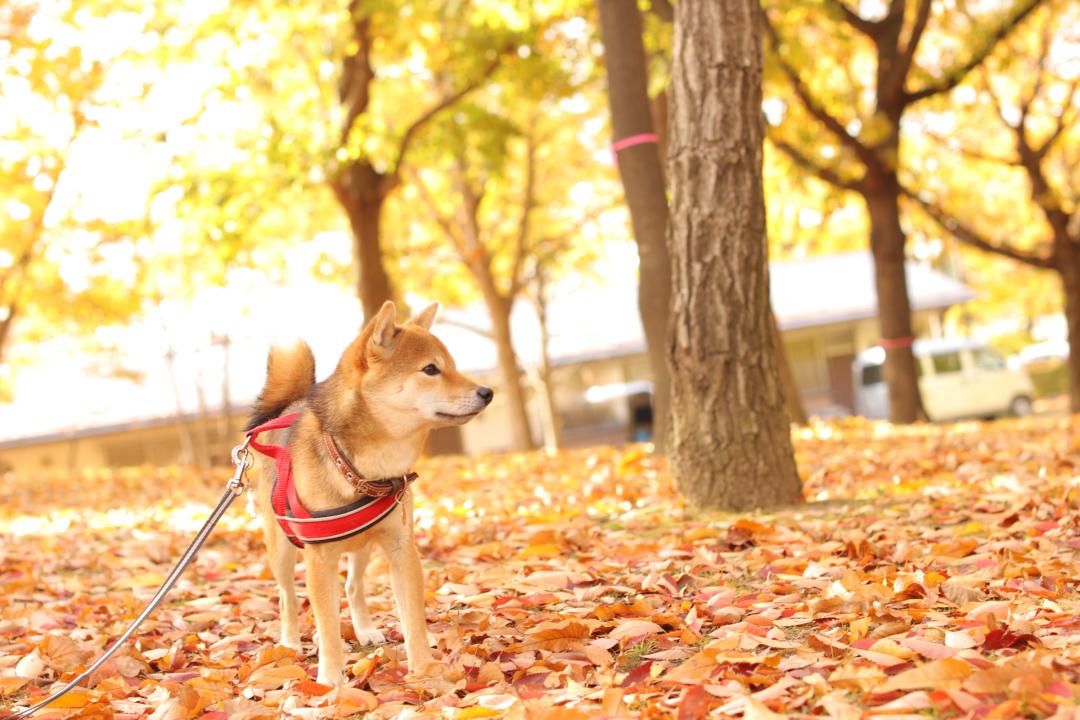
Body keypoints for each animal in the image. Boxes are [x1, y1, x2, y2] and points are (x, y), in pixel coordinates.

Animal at [246, 302, 494, 686]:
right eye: (430, 369)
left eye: (451, 365)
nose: (487, 392)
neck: (367, 470)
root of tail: (289, 407)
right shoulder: (319, 559)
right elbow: (328, 627)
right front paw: (330, 679)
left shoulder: (401, 547)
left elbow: (413, 618)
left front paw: (423, 667)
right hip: (282, 548)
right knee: (287, 596)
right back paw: (289, 643)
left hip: (361, 546)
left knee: (353, 587)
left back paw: (364, 630)